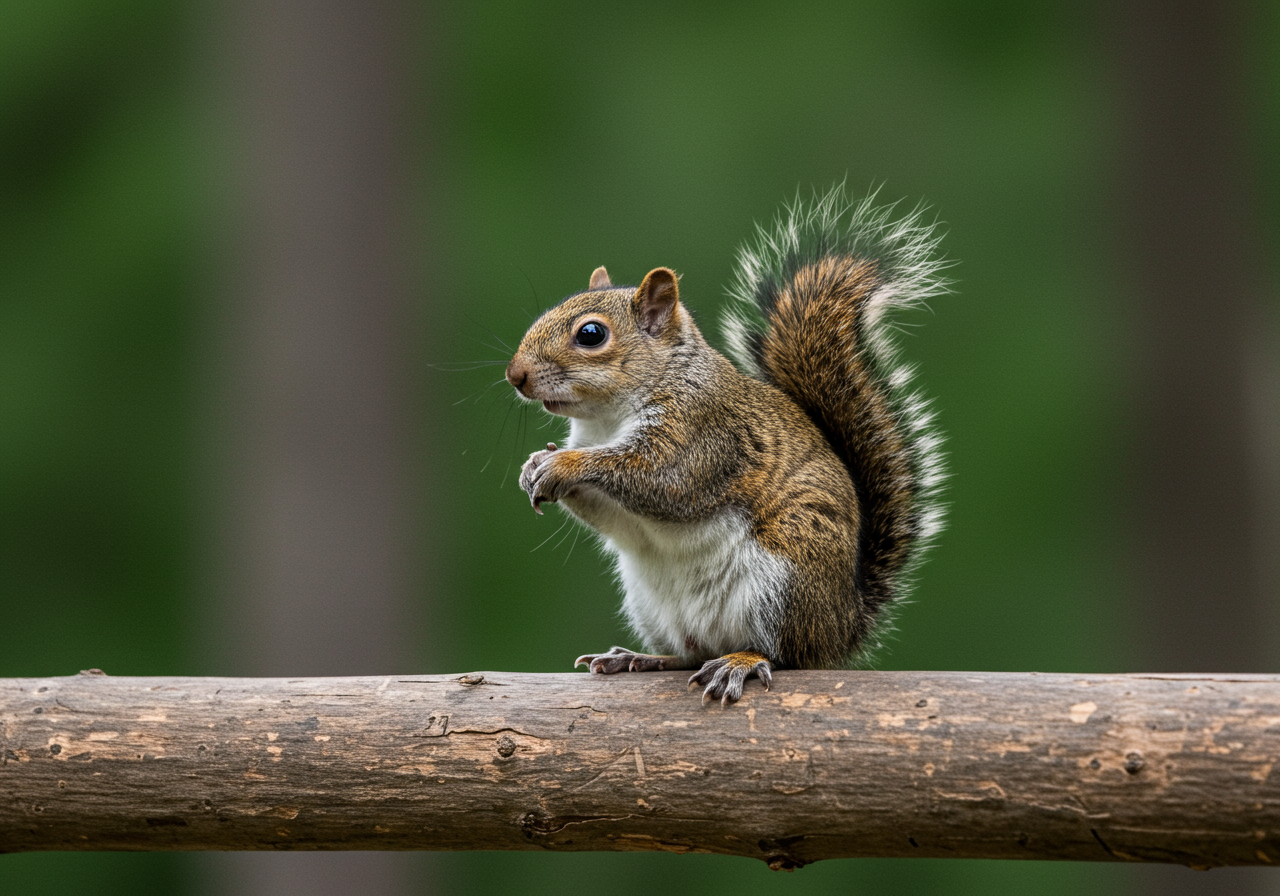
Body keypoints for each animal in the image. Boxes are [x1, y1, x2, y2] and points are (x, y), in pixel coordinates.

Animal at [504, 186, 947, 705]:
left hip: (783, 582)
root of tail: (842, 626)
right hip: (653, 604)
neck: (606, 421)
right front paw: (535, 464)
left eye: (591, 334)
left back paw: (741, 662)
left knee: (785, 654)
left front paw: (563, 465)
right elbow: (610, 514)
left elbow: (661, 480)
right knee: (690, 653)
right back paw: (640, 658)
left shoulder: (702, 437)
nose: (515, 375)